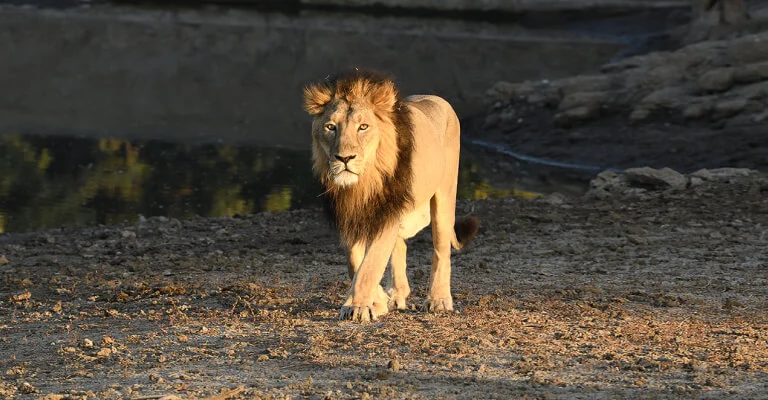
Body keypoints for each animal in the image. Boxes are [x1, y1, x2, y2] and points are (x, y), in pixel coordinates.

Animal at [302, 69, 476, 322]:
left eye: (363, 127)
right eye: (331, 127)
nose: (344, 158)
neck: (363, 182)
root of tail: (438, 99)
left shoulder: (387, 213)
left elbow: (369, 265)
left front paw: (357, 307)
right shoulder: (351, 215)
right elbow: (355, 263)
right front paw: (377, 301)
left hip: (444, 196)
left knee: (441, 249)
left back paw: (438, 300)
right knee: (400, 246)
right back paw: (396, 294)